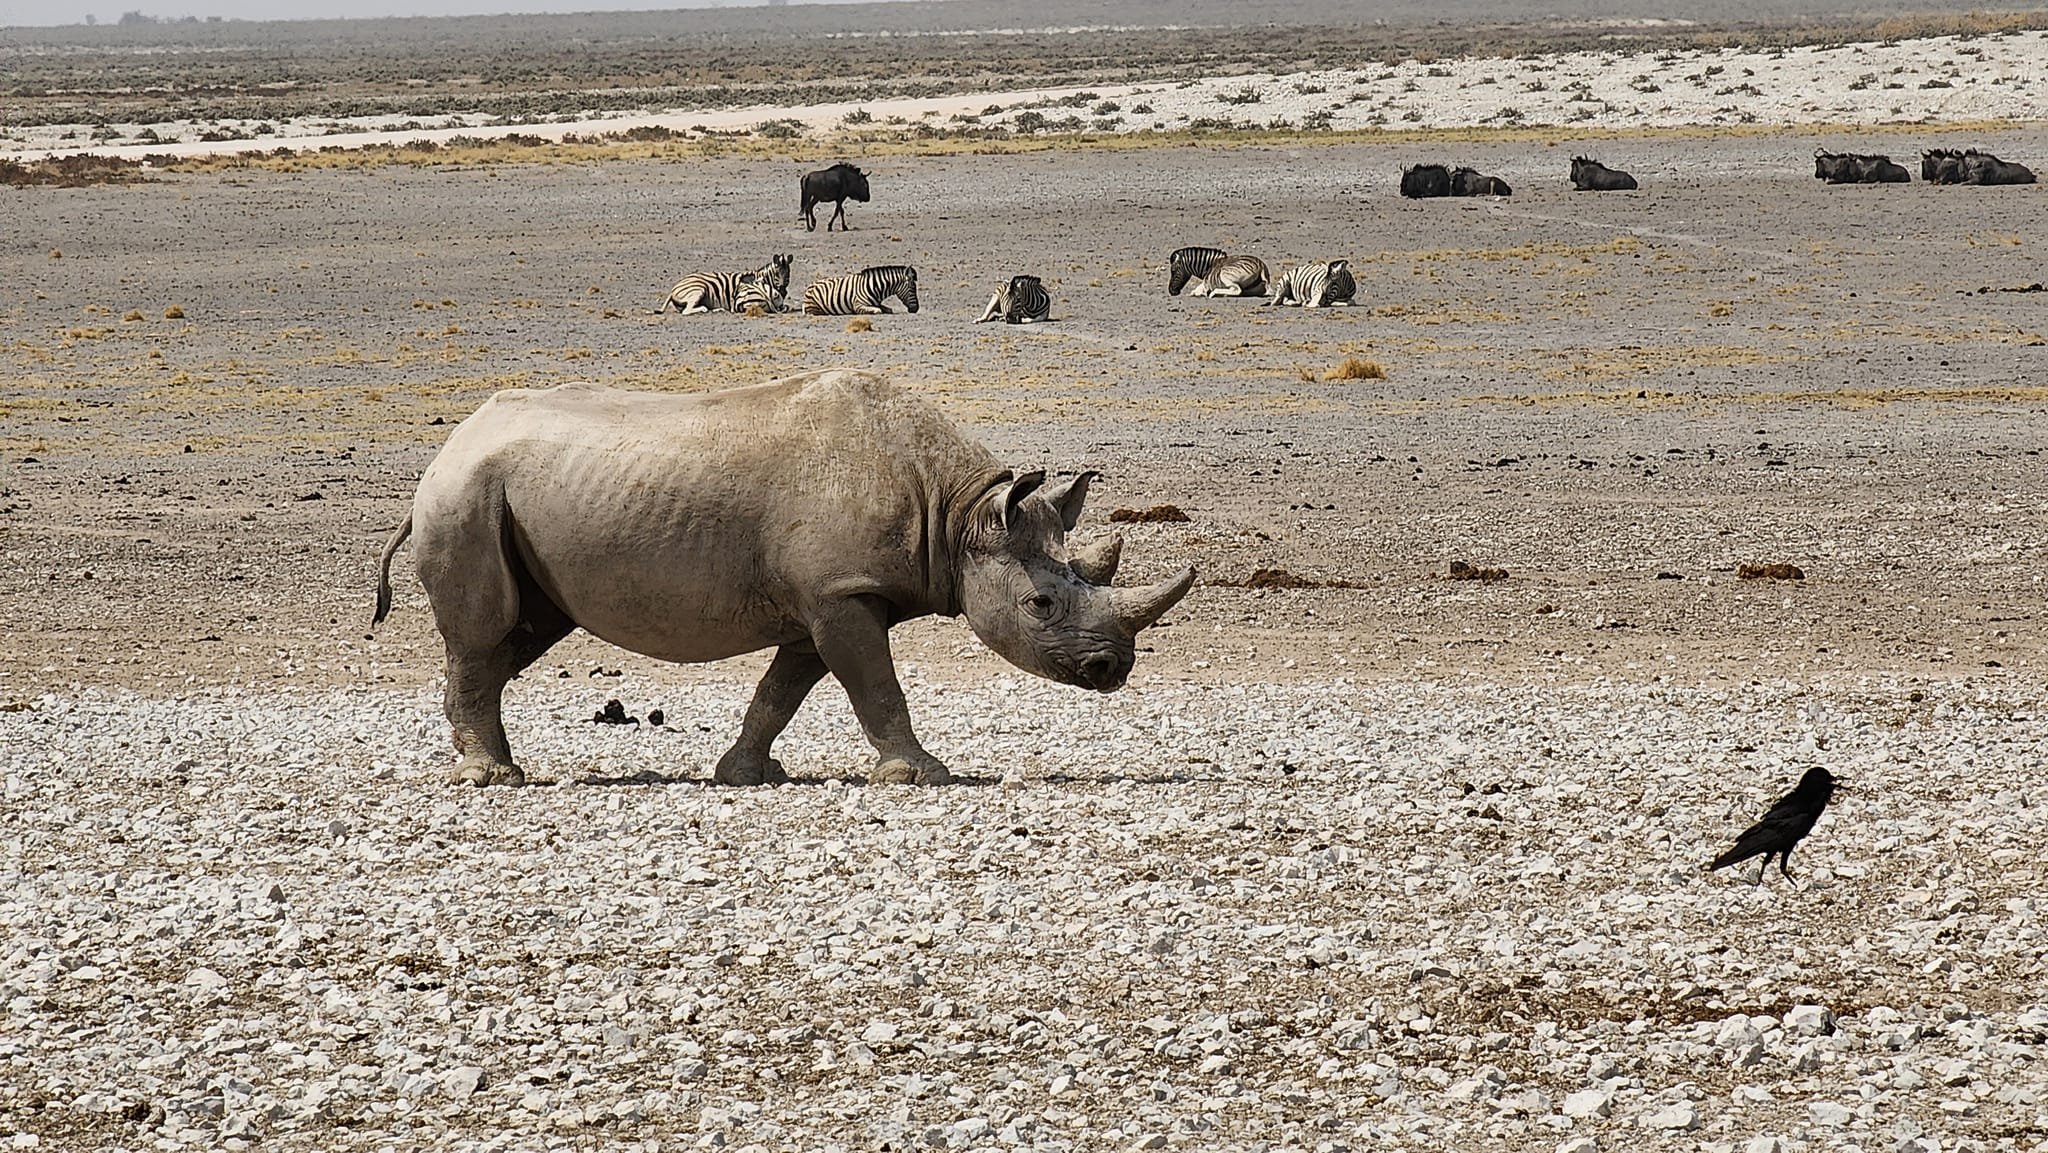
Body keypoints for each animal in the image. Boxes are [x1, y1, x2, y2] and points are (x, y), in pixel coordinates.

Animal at [372, 369, 1195, 788]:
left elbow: (783, 690)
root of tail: (446, 450)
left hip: (505, 496)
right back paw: (491, 780)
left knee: (525, 631)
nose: (1112, 668)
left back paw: (491, 765)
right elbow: (876, 687)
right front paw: (920, 774)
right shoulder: (841, 593)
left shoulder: (824, 601)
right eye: (1041, 602)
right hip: (466, 497)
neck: (960, 514)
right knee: (485, 636)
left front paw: (747, 772)